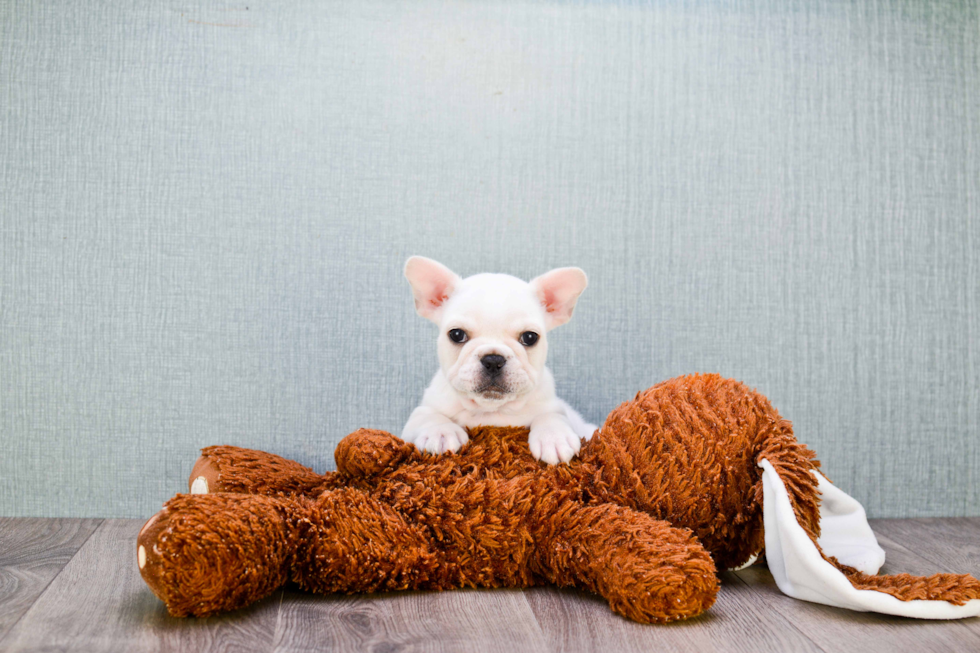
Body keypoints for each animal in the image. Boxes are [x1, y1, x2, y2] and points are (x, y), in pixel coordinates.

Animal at [400, 255, 596, 464]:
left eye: (530, 337)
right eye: (456, 334)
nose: (493, 360)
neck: (491, 410)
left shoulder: (556, 407)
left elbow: (552, 415)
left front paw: (553, 437)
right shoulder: (421, 413)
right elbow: (427, 415)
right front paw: (440, 433)